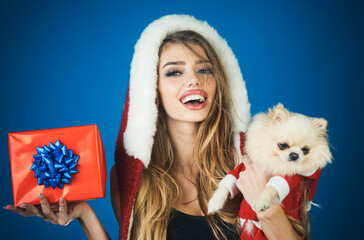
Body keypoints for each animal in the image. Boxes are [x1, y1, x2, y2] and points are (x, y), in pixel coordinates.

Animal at [209, 104, 332, 239]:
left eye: (305, 149)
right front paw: (214, 202)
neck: (276, 160)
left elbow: (271, 187)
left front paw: (262, 201)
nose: (294, 155)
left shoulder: (288, 178)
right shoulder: (241, 168)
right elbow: (226, 184)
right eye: (283, 145)